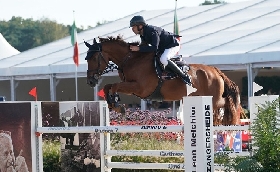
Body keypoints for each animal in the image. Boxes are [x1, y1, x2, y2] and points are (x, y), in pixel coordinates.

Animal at [84, 35, 242, 125]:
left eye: (93, 57)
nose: (90, 81)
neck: (130, 59)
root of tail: (216, 71)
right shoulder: (132, 88)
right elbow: (108, 86)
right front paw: (113, 103)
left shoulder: (139, 88)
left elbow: (115, 86)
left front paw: (117, 105)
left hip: (214, 98)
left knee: (227, 103)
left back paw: (233, 114)